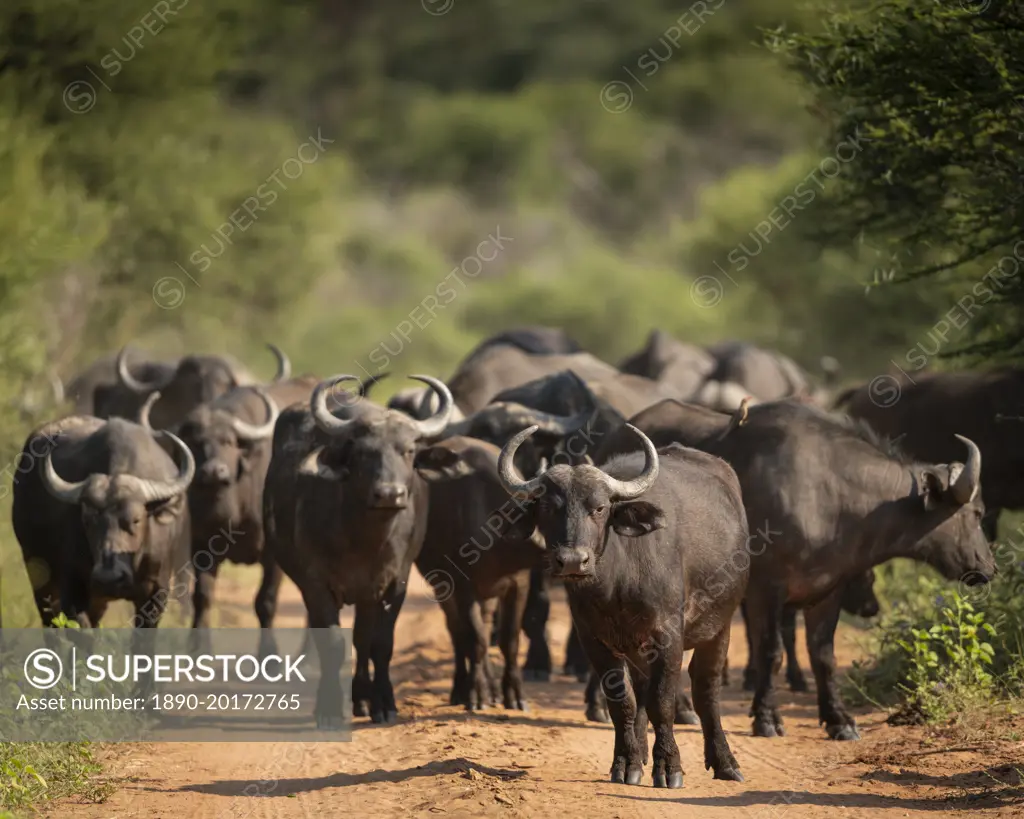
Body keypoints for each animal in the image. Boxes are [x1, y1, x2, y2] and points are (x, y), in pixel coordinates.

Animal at [12, 415, 194, 626]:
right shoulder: (72, 590)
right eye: (88, 520)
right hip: (39, 575)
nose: (109, 578)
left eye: (136, 520)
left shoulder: (157, 593)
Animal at [264, 370, 452, 724]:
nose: (390, 494)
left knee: (364, 640)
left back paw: (364, 699)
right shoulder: (315, 584)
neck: (364, 541)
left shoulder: (394, 582)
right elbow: (333, 644)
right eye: (364, 453)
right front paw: (328, 709)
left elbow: (378, 643)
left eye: (408, 450)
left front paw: (382, 703)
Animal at [493, 421, 745, 786]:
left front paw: (669, 768)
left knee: (706, 688)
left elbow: (662, 702)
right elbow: (623, 702)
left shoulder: (668, 636)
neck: (616, 585)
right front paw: (627, 763)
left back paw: (725, 763)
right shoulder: (594, 640)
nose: (572, 561)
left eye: (599, 508)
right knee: (640, 690)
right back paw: (640, 755)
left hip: (720, 624)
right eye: (549, 508)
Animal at [598, 399, 995, 741]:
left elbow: (823, 656)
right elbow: (770, 653)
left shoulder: (829, 590)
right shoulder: (764, 590)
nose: (988, 567)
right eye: (977, 513)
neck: (831, 496)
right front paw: (767, 717)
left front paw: (838, 719)